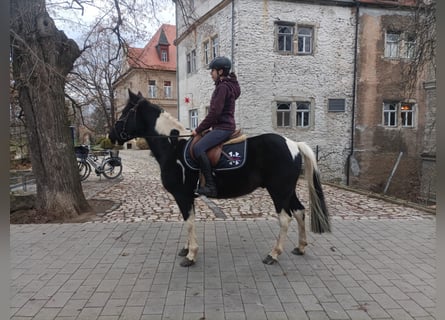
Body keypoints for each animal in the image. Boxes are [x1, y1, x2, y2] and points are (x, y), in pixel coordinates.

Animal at [107, 90, 330, 268]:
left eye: (125, 113)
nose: (111, 135)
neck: (173, 146)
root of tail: (293, 144)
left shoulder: (182, 195)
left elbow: (189, 222)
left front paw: (191, 255)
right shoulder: (188, 196)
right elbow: (189, 220)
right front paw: (187, 248)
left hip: (278, 191)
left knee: (285, 219)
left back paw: (273, 254)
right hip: (287, 190)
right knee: (300, 212)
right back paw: (300, 247)